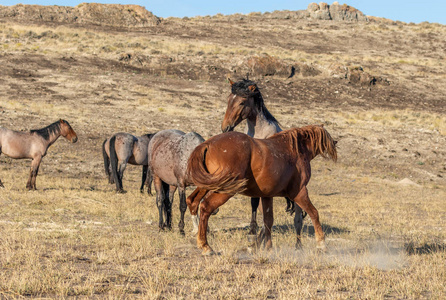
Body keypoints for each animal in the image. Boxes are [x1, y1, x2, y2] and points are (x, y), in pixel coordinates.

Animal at [186, 124, 336, 255]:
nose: (335, 143)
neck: (294, 150)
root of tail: (208, 144)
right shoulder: (299, 193)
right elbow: (314, 213)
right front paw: (321, 244)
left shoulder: (267, 195)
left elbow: (268, 221)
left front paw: (268, 248)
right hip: (224, 191)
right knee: (205, 206)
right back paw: (206, 246)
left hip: (208, 185)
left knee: (192, 201)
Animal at [220, 78, 304, 247]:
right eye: (228, 99)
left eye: (242, 102)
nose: (225, 127)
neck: (259, 134)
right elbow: (255, 205)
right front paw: (252, 233)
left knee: (298, 219)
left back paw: (298, 246)